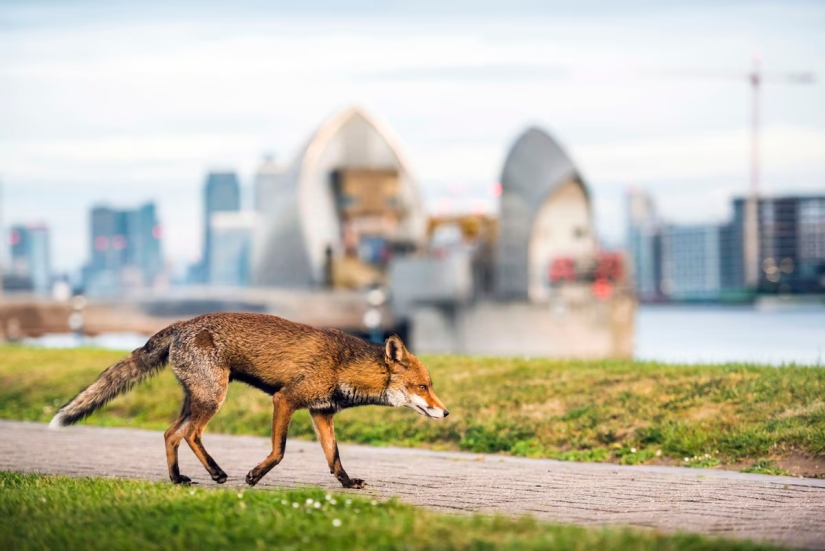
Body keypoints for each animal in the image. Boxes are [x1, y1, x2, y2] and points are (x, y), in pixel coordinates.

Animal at [49, 312, 448, 488]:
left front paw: (348, 484)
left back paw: (178, 479)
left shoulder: (321, 413)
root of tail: (181, 324)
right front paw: (254, 475)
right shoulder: (286, 400)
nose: (445, 412)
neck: (342, 366)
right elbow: (280, 451)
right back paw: (216, 473)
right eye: (423, 387)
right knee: (190, 434)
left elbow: (334, 458)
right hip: (213, 398)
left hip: (197, 398)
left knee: (169, 434)